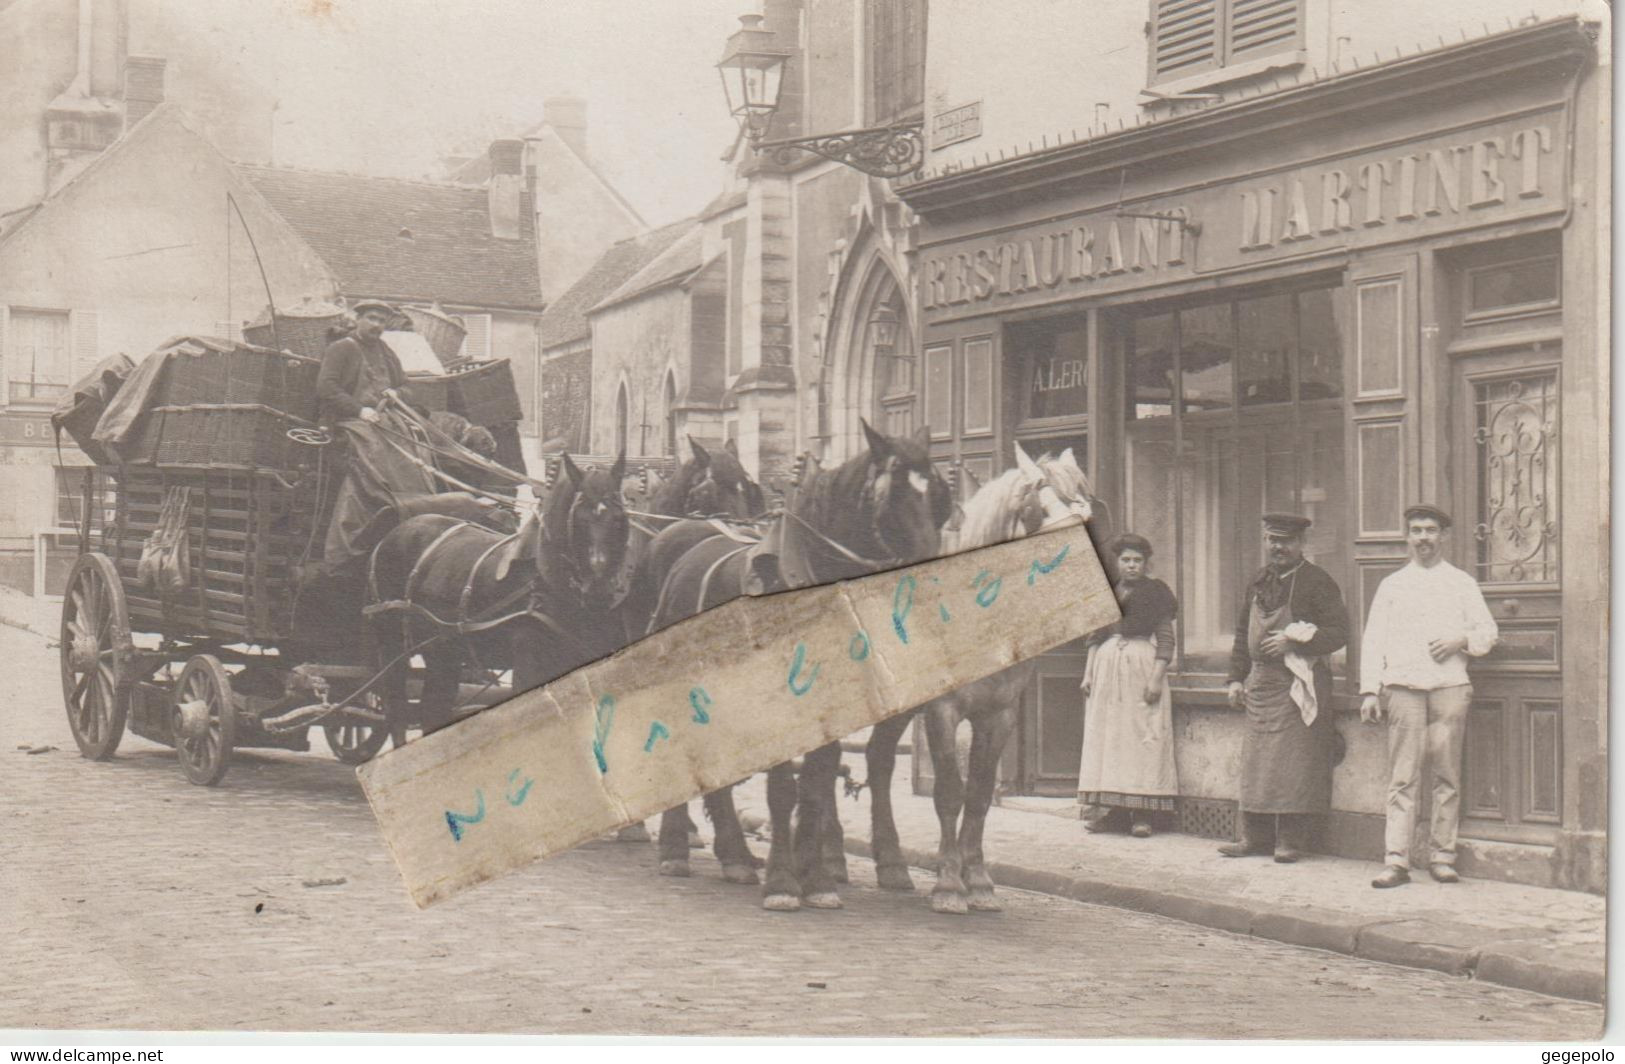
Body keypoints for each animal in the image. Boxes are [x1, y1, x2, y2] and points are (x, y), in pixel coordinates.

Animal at [372, 451, 630, 740]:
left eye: (619, 518)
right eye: (580, 521)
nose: (599, 590)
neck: (545, 577)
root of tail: (395, 531)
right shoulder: (528, 663)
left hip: (443, 652)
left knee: (432, 711)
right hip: (391, 646)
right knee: (397, 714)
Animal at [640, 419, 955, 909]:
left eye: (940, 497)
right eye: (894, 497)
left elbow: (817, 782)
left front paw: (817, 878)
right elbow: (784, 787)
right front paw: (784, 882)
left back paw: (735, 855)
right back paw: (678, 846)